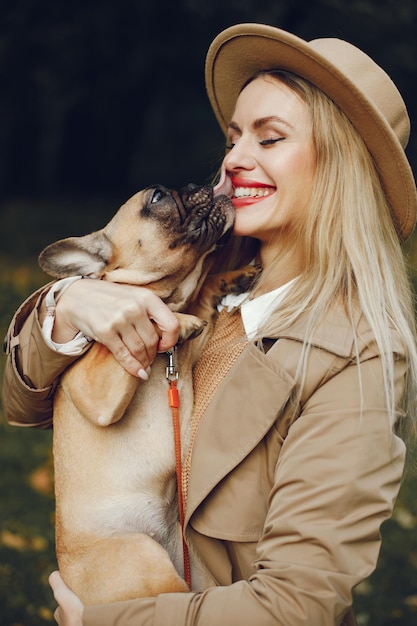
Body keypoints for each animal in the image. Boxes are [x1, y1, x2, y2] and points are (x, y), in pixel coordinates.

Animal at [38, 184, 254, 604]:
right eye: (156, 198)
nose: (199, 185)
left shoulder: (192, 347)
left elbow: (201, 297)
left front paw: (230, 279)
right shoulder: (95, 383)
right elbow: (152, 316)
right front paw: (177, 320)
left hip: (196, 573)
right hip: (145, 562)